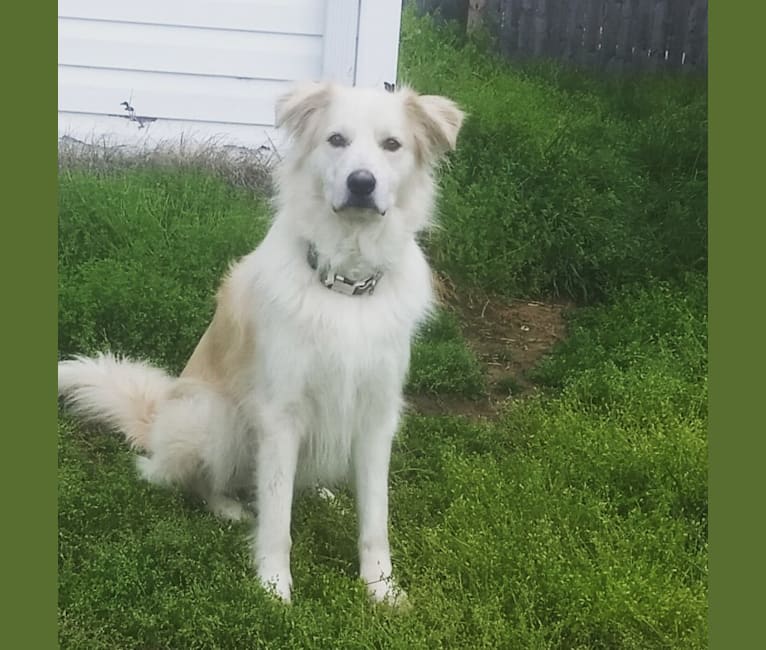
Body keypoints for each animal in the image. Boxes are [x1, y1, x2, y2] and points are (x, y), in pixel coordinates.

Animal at [57, 81, 464, 604]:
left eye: (391, 145)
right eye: (336, 139)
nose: (361, 183)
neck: (344, 287)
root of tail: (154, 424)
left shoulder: (378, 415)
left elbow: (376, 517)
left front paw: (382, 589)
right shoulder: (279, 415)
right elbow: (276, 517)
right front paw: (274, 589)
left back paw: (325, 495)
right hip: (214, 416)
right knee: (191, 479)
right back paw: (228, 507)